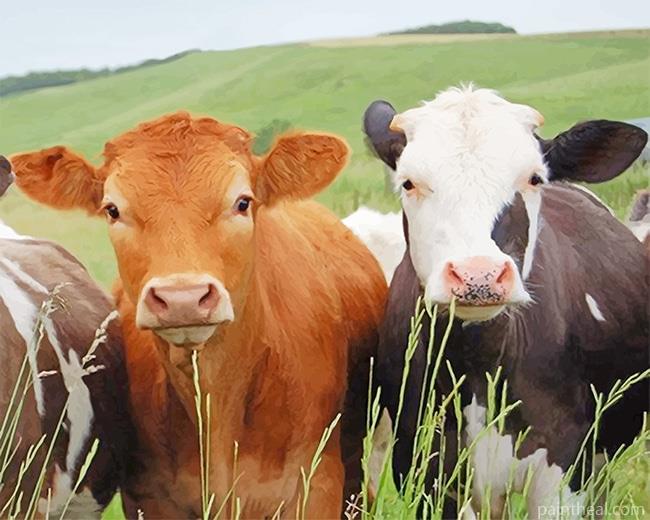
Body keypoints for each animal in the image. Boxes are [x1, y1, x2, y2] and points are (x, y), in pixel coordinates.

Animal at [363, 86, 649, 514]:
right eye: (409, 183)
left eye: (534, 178)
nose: (477, 276)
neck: (481, 364)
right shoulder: (426, 468)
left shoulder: (563, 471)